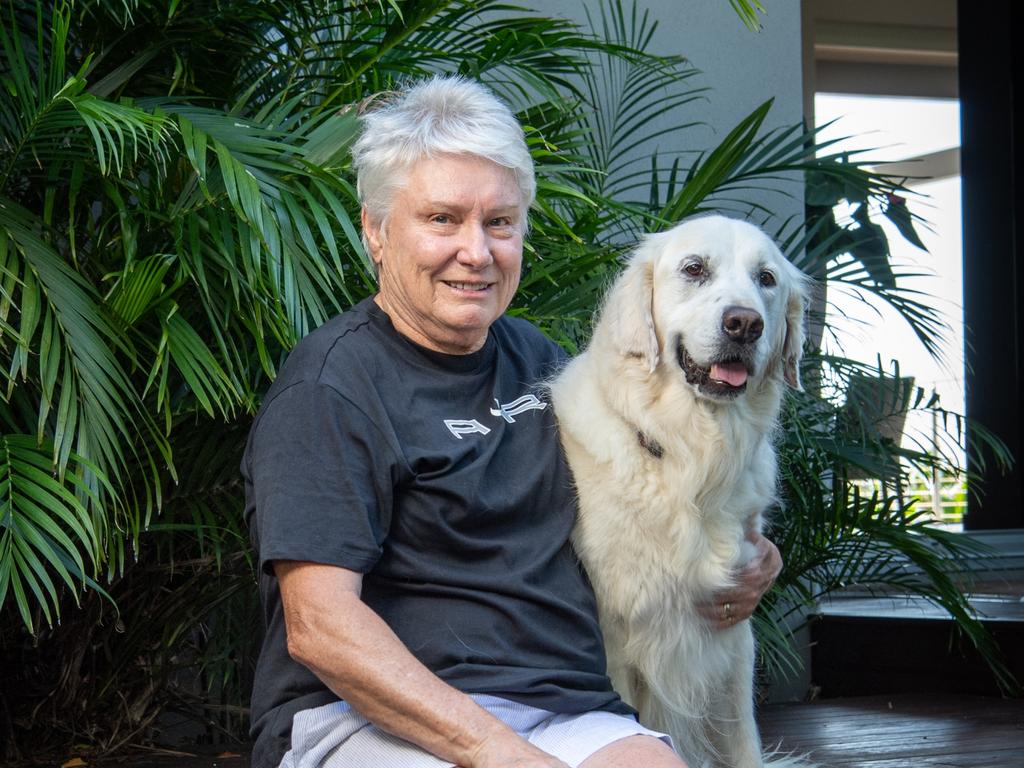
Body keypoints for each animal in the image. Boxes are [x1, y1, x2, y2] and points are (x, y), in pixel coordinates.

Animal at [552, 214, 806, 765]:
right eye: (694, 269)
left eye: (766, 279)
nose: (744, 324)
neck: (690, 457)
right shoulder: (615, 645)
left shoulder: (731, 639)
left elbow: (743, 745)